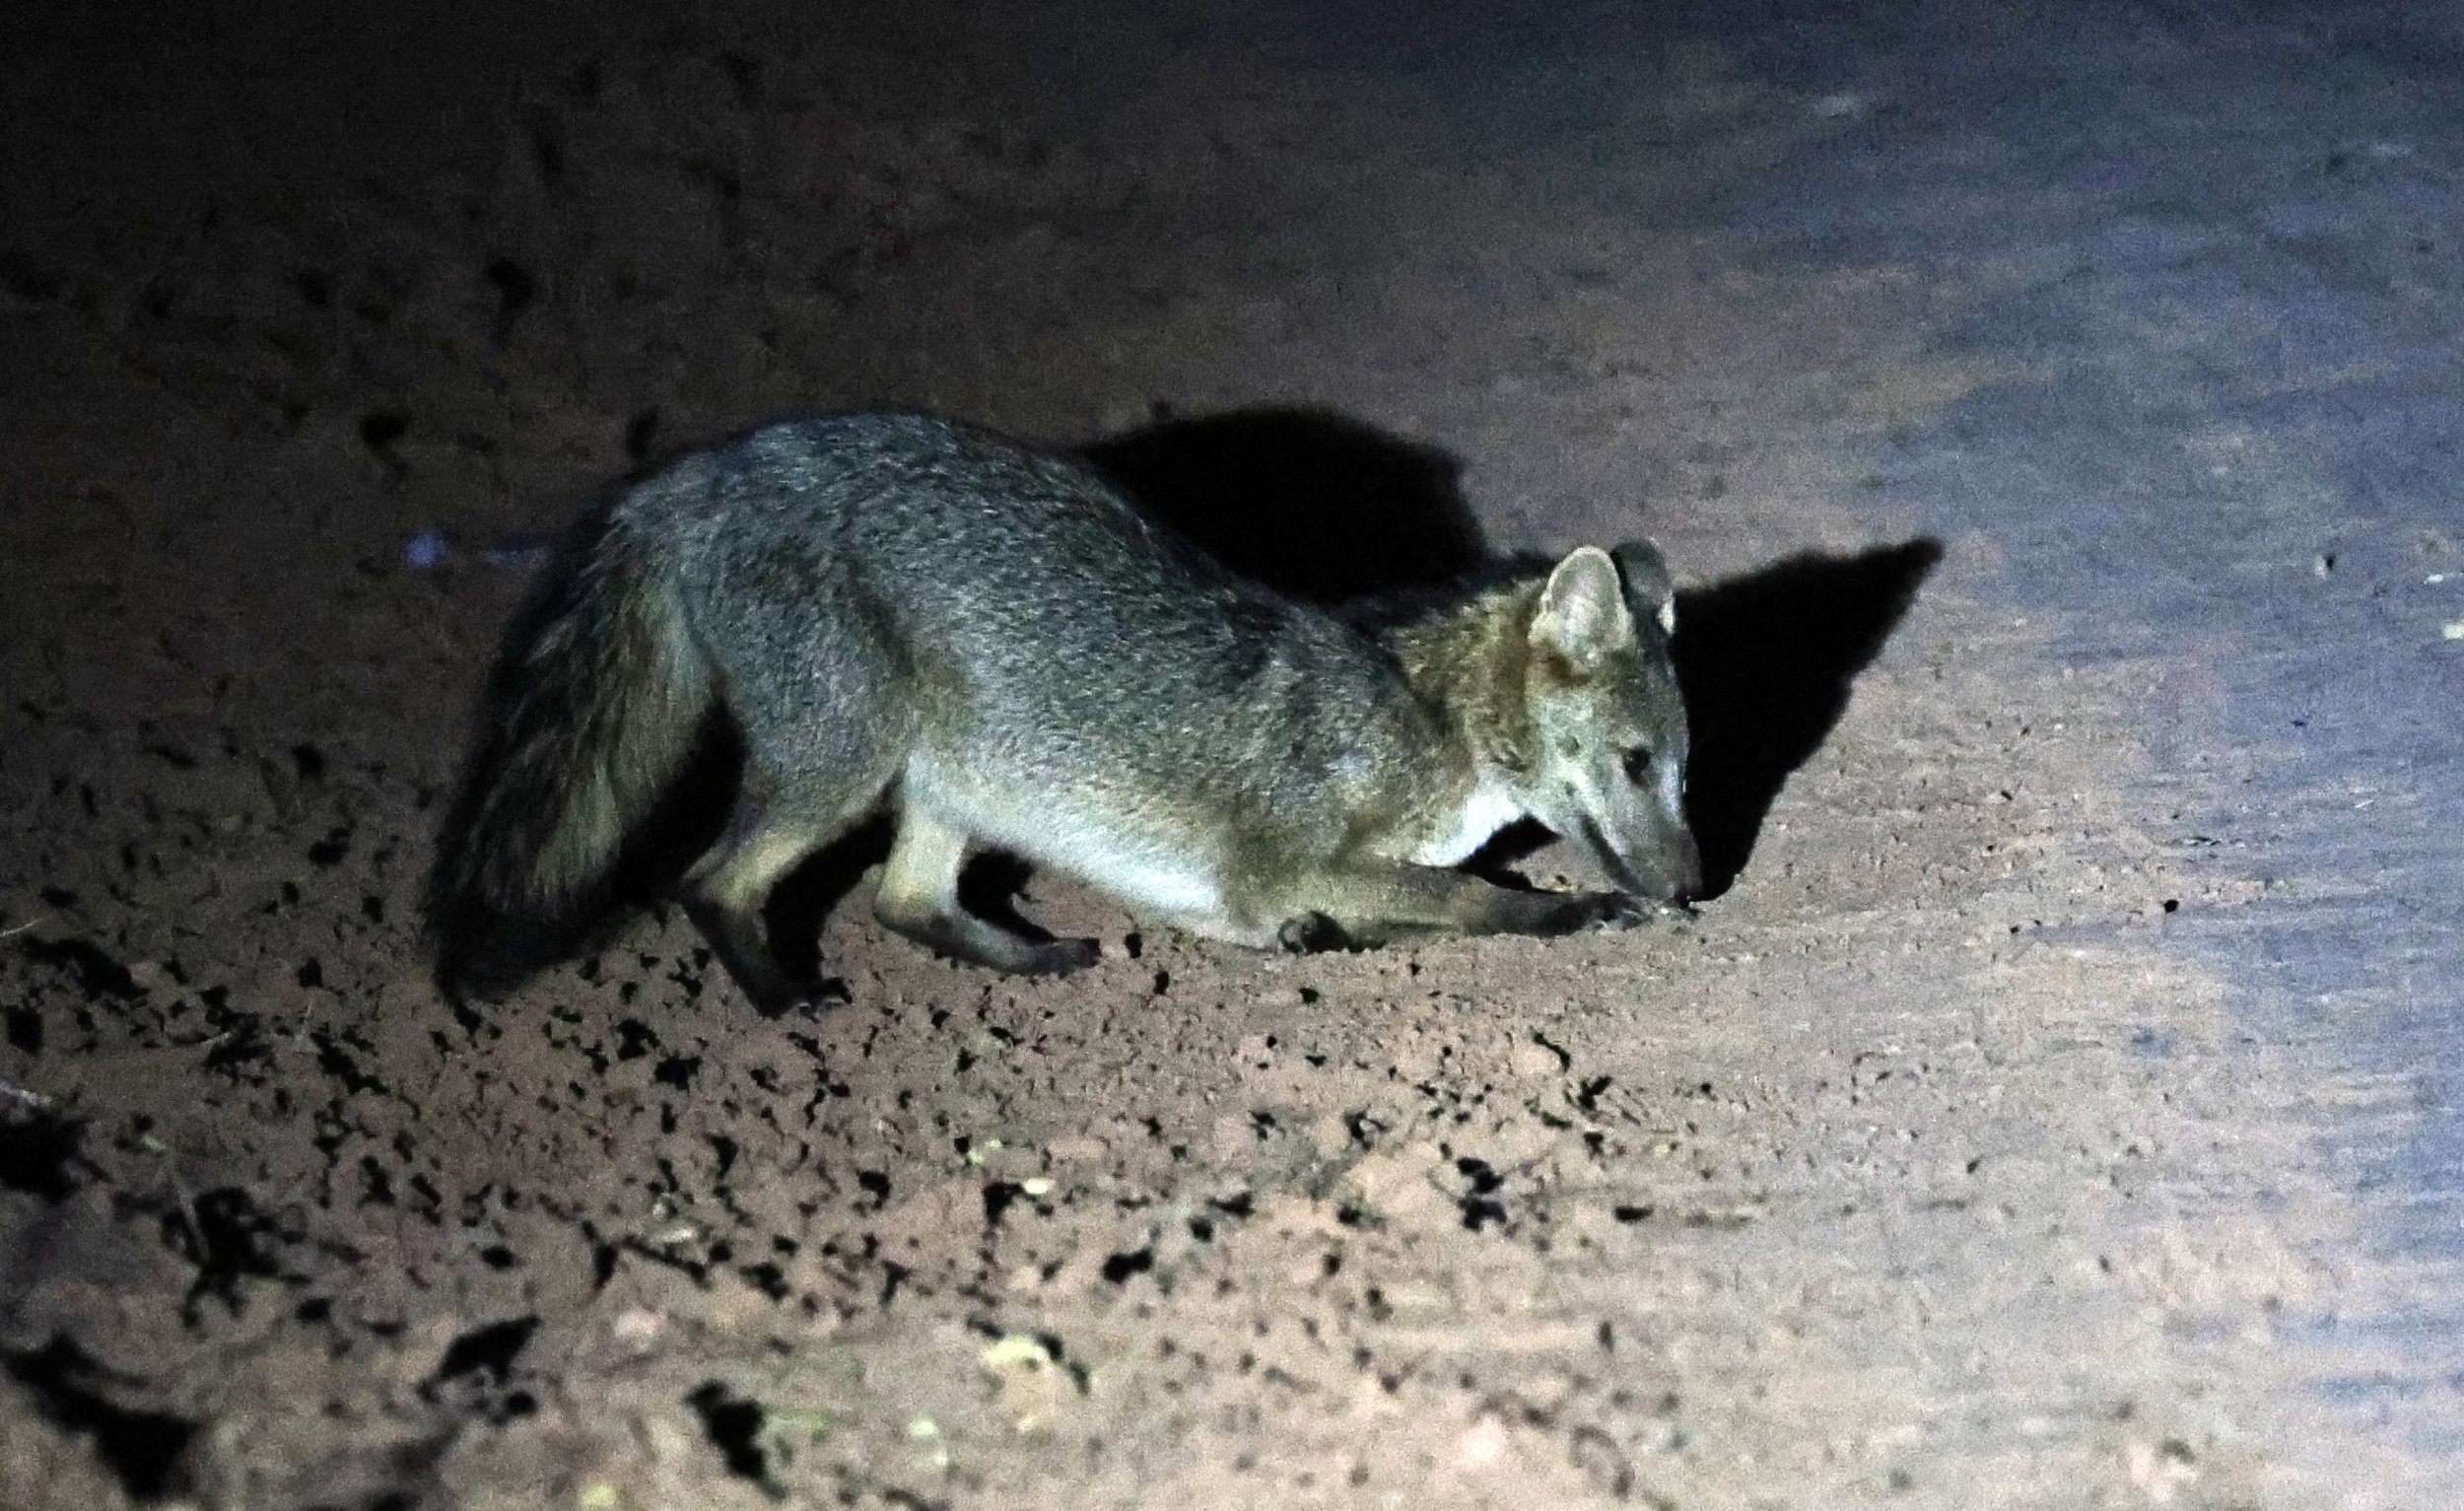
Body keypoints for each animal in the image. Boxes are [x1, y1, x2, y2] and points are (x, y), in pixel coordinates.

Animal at [424, 411, 1701, 1012]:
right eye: (1638, 763)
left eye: (1685, 770)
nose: (1696, 891)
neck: (1422, 715)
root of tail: (704, 467)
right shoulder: (1286, 862)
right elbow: (1470, 896)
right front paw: (1570, 914)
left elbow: (1400, 906)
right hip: (847, 762)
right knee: (712, 881)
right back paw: (787, 998)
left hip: (953, 780)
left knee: (901, 901)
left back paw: (1031, 955)